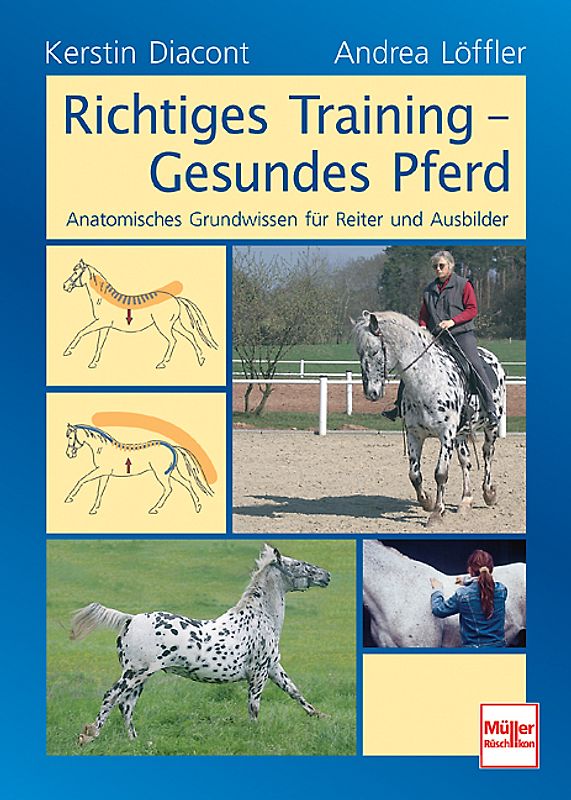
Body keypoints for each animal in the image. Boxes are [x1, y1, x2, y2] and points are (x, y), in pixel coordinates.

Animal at [62, 258, 218, 369]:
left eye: (76, 272)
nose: (65, 286)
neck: (103, 299)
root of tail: (176, 298)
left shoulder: (101, 322)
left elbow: (81, 332)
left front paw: (68, 351)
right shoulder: (105, 326)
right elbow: (99, 343)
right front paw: (93, 363)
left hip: (164, 325)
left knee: (173, 340)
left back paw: (162, 363)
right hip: (174, 324)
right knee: (190, 336)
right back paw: (201, 359)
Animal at [65, 423, 213, 515]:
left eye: (71, 437)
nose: (68, 454)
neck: (102, 448)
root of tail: (173, 446)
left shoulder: (101, 470)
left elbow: (82, 480)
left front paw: (69, 498)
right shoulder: (105, 473)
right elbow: (100, 490)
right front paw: (94, 509)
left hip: (161, 474)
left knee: (169, 489)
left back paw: (154, 509)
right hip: (172, 473)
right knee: (187, 483)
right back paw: (197, 506)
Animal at [70, 544, 331, 744]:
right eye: (297, 564)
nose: (327, 576)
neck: (259, 617)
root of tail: (130, 619)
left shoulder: (274, 668)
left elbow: (295, 692)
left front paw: (321, 716)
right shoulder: (259, 673)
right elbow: (254, 706)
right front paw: (254, 734)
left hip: (141, 677)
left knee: (126, 705)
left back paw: (135, 741)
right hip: (135, 673)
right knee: (111, 697)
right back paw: (89, 736)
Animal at [354, 310, 506, 526]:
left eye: (374, 352)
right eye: (359, 353)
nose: (371, 393)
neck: (427, 382)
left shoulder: (446, 435)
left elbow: (441, 474)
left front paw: (437, 513)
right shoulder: (414, 435)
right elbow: (414, 474)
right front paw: (427, 501)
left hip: (490, 428)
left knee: (487, 454)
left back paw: (488, 493)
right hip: (460, 435)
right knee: (465, 461)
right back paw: (465, 500)